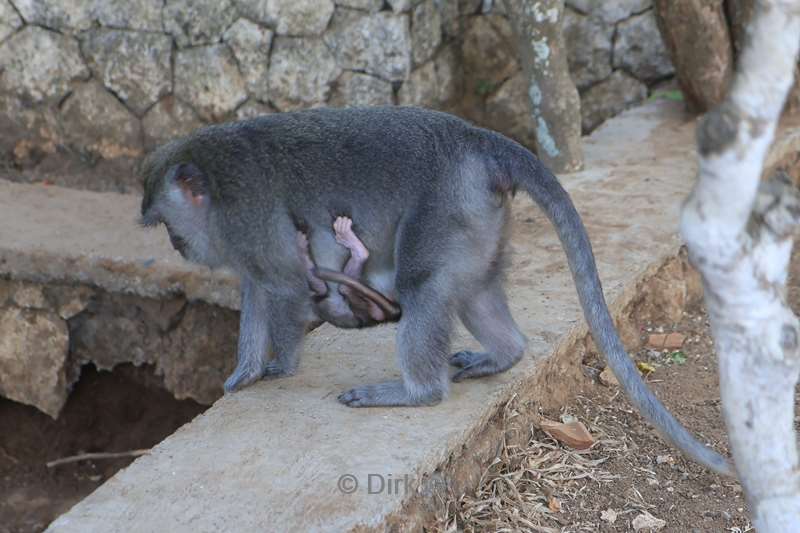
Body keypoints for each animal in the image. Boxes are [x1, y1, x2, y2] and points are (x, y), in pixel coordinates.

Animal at [139, 105, 732, 474]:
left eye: (167, 222)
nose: (176, 245)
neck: (215, 179)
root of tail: (477, 138)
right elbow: (259, 290)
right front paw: (243, 371)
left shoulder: (248, 216)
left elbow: (283, 287)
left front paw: (278, 366)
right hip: (477, 214)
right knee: (472, 287)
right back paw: (503, 354)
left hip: (447, 206)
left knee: (421, 286)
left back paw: (414, 391)